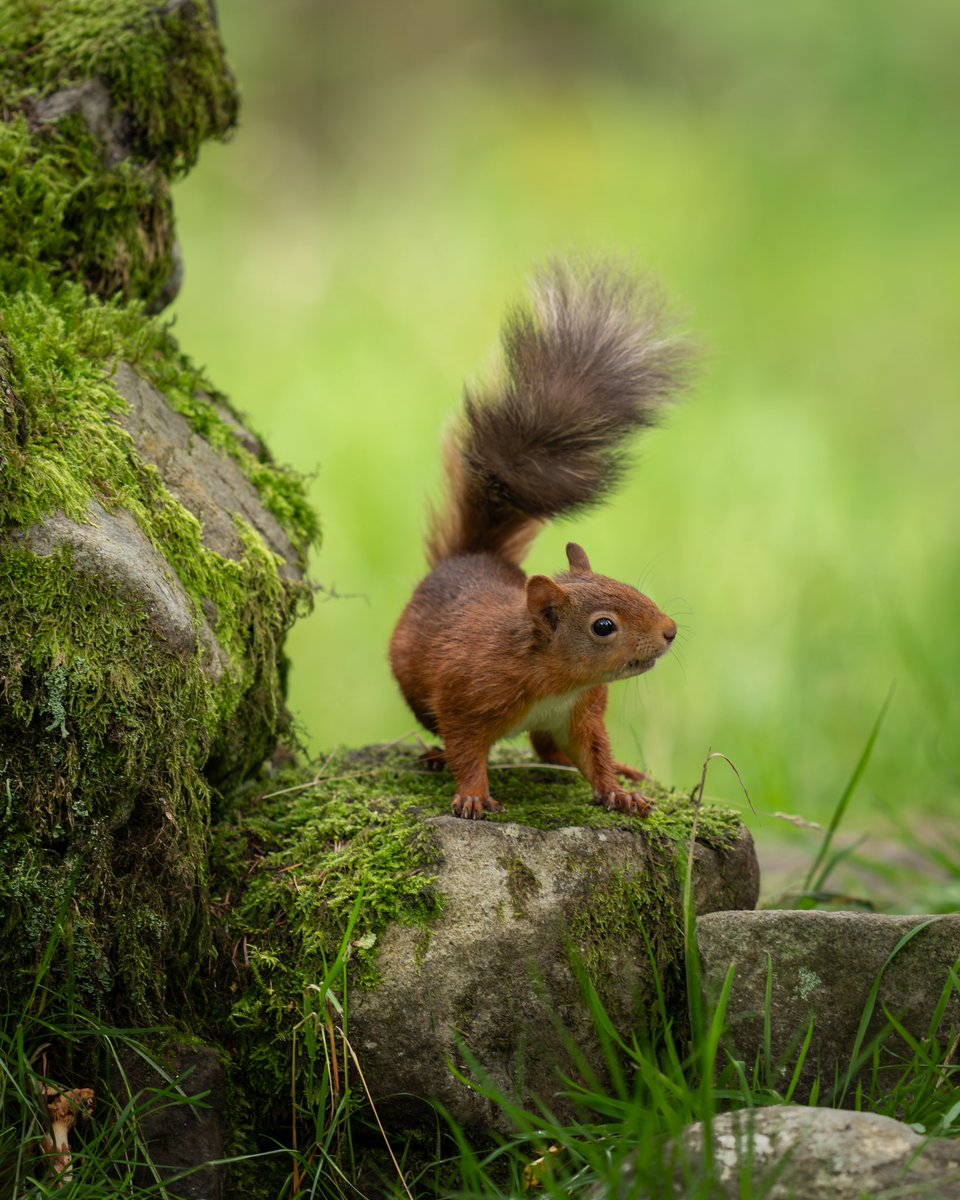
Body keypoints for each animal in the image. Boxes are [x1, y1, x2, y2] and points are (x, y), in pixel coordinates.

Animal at [386, 262, 696, 820]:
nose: (670, 631)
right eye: (603, 626)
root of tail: (472, 555)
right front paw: (471, 794)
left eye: (629, 586)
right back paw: (434, 755)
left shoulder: (584, 714)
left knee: (548, 748)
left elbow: (594, 754)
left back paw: (622, 769)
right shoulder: (466, 698)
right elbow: (466, 747)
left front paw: (617, 790)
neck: (556, 681)